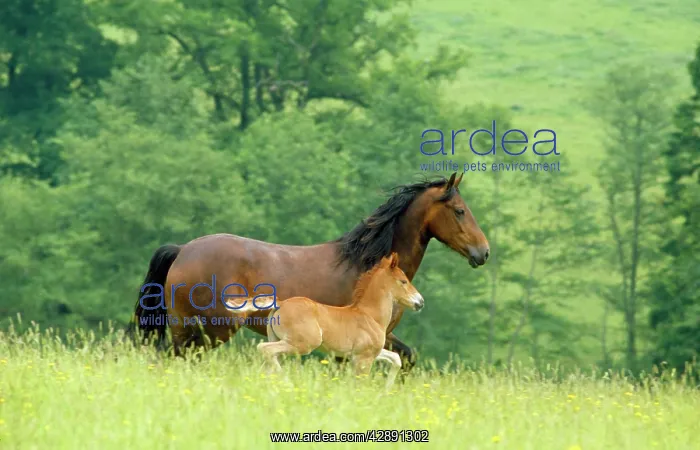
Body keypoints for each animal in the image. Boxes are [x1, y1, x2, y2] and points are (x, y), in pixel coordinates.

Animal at [129, 172, 489, 370]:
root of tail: (182, 250)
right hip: (210, 330)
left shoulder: (382, 336)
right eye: (460, 211)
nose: (483, 252)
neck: (367, 265)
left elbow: (408, 357)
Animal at [230, 252, 424, 389]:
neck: (370, 315)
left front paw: (386, 391)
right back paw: (288, 382)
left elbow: (396, 359)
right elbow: (360, 384)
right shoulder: (364, 358)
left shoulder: (366, 354)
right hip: (302, 344)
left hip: (279, 339)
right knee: (264, 349)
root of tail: (281, 303)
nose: (420, 302)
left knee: (268, 361)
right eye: (403, 281)